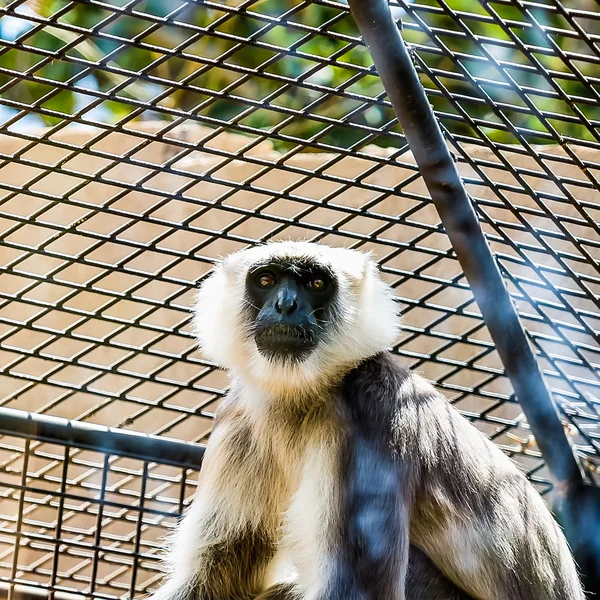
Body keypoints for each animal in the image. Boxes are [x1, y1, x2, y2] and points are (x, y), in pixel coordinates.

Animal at [151, 241, 584, 600]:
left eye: (316, 282)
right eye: (266, 279)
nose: (286, 305)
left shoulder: (370, 406)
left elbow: (354, 590)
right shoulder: (239, 416)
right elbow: (219, 572)